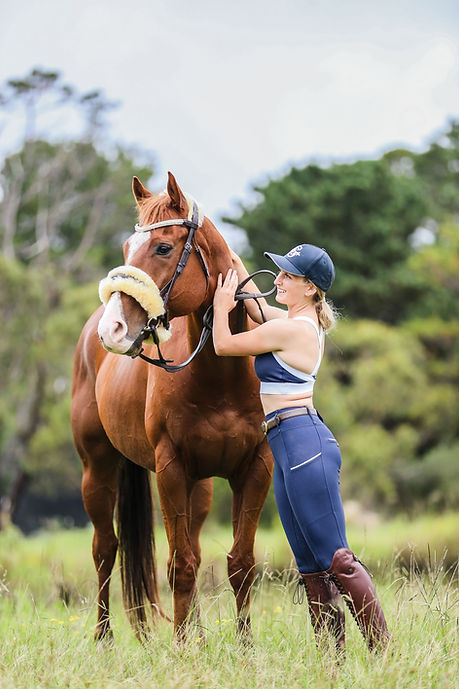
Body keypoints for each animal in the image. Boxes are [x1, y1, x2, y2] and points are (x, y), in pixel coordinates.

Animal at [71, 172, 274, 640]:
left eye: (163, 247)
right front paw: (182, 648)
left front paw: (244, 646)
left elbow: (240, 564)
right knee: (106, 550)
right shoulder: (170, 469)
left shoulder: (255, 467)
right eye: (127, 248)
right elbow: (179, 567)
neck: (222, 375)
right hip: (98, 469)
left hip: (200, 487)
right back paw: (105, 640)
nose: (114, 328)